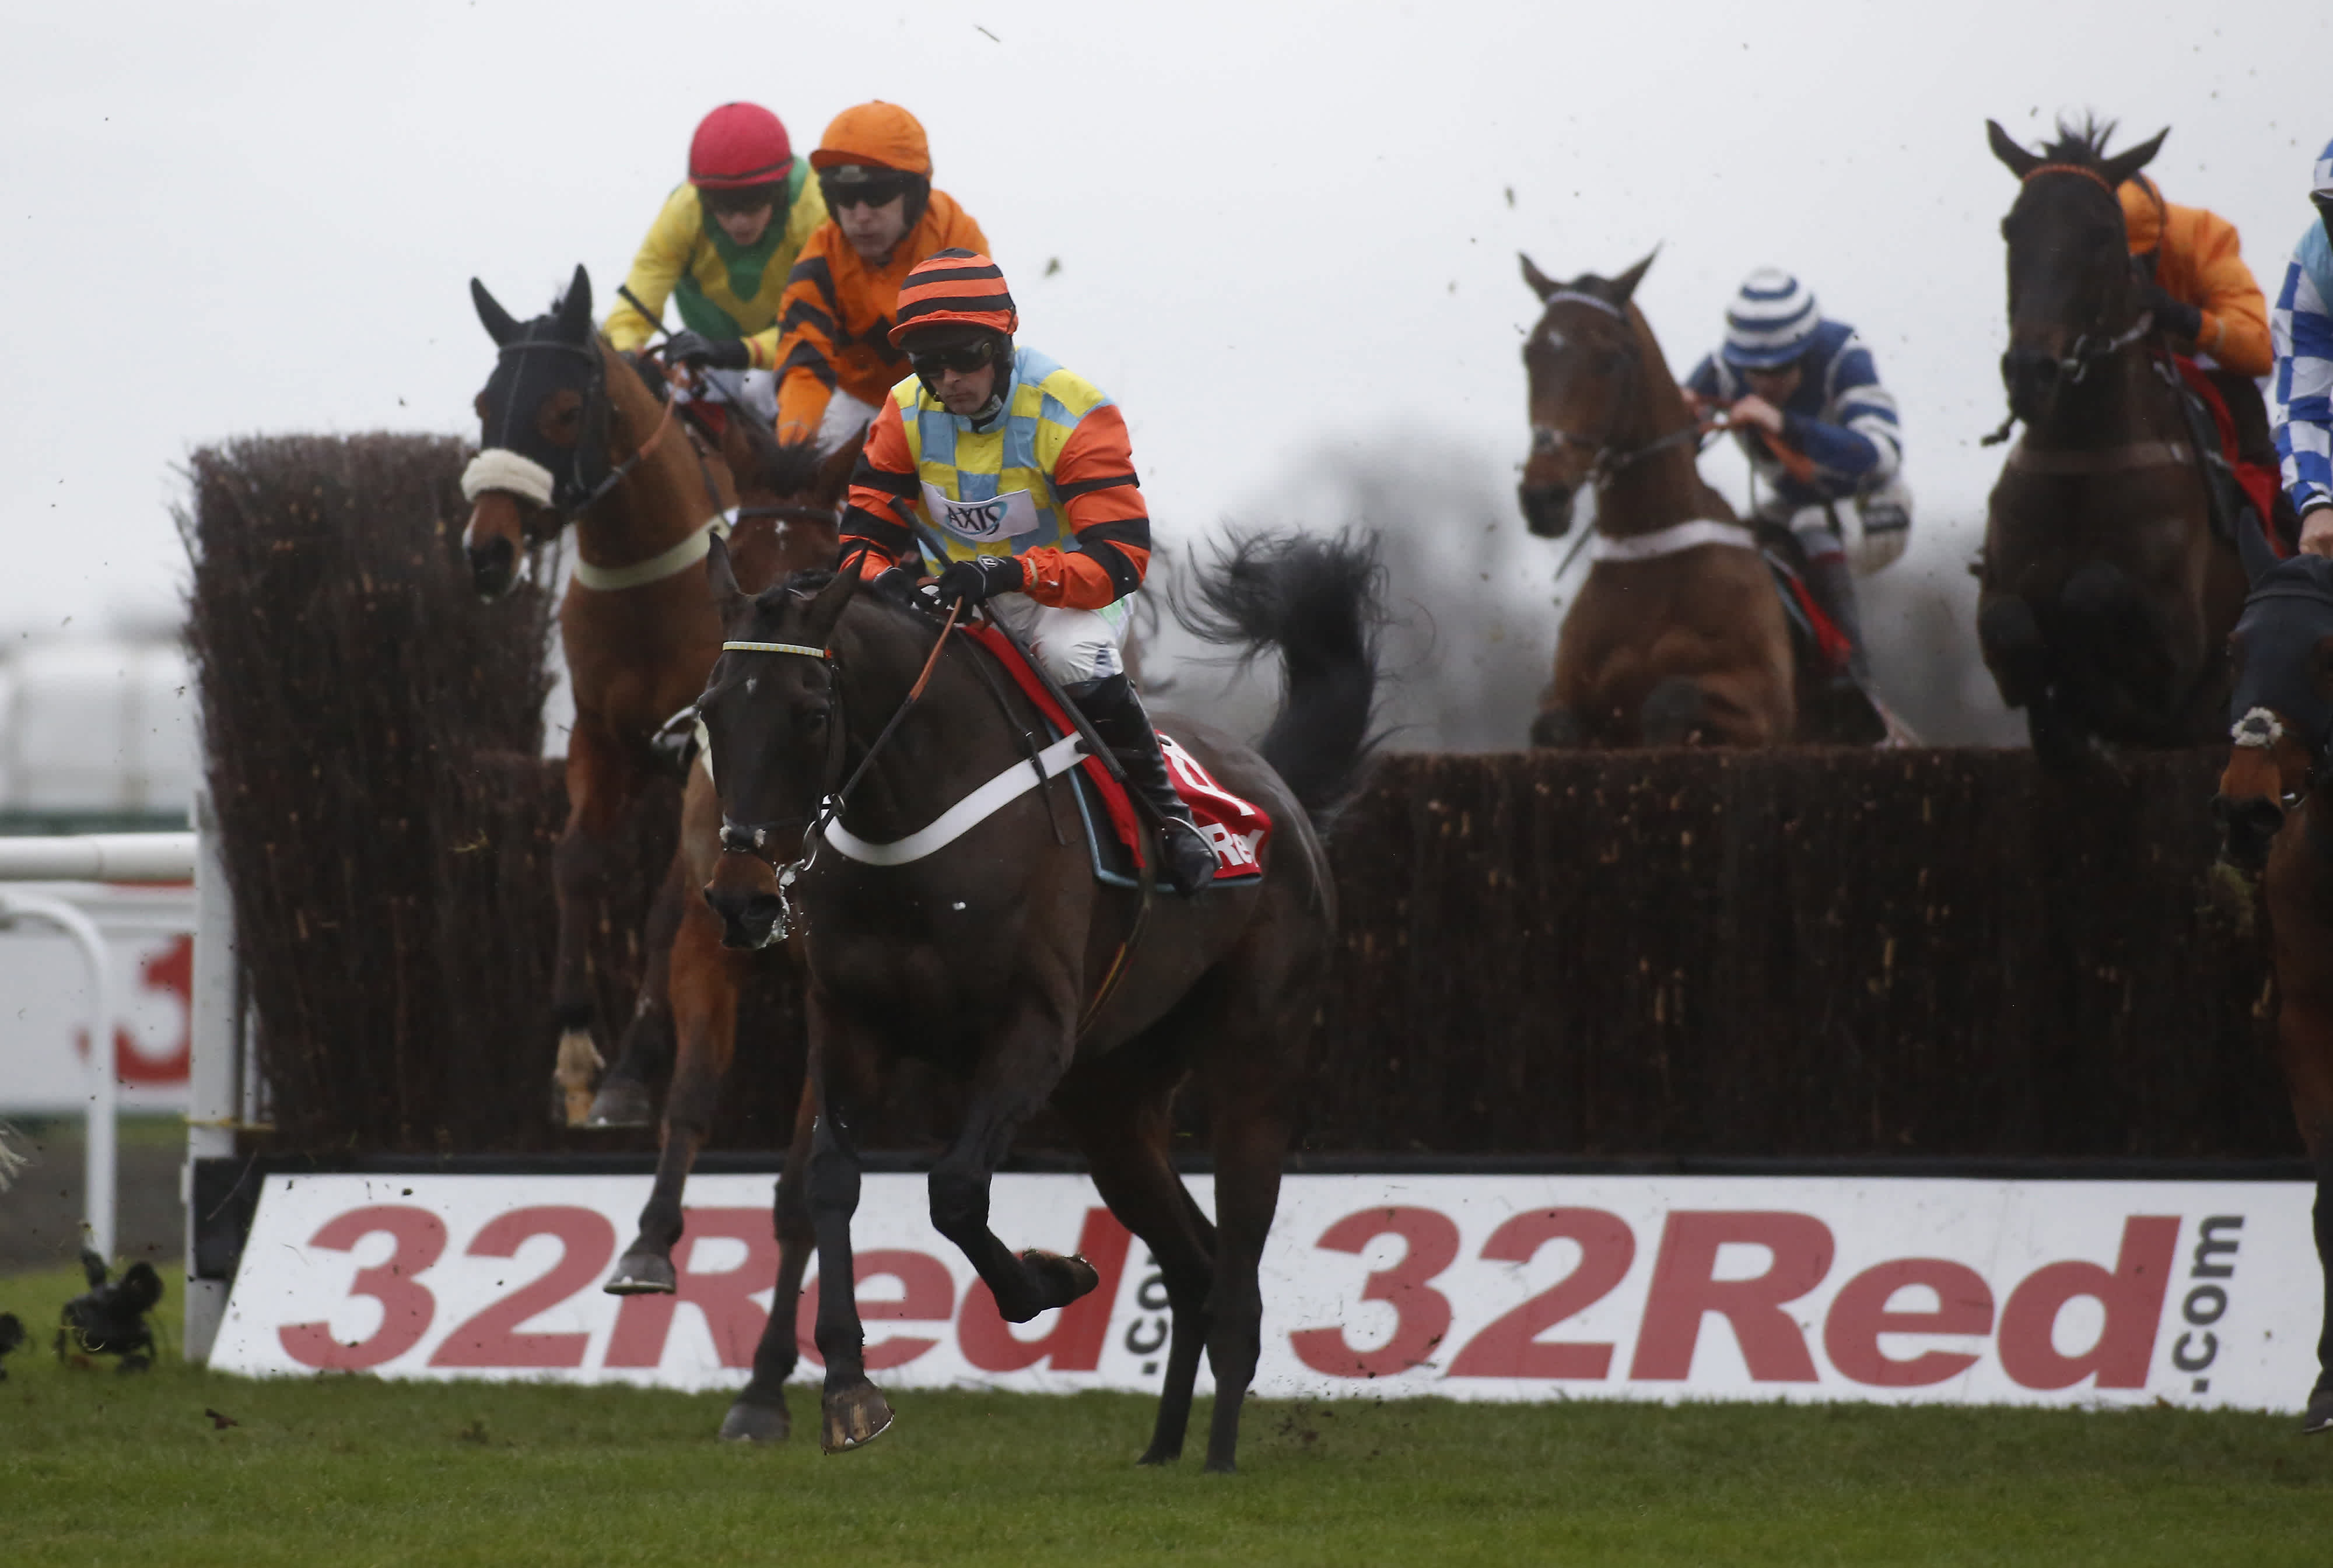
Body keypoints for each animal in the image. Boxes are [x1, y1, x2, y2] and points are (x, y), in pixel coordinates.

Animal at [460, 264, 854, 1120]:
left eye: (564, 409)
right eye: (482, 404)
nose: (488, 550)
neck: (644, 585)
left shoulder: (704, 764)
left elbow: (673, 901)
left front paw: (633, 1068)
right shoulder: (603, 737)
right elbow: (573, 860)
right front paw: (575, 1049)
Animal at [691, 536, 1381, 1474]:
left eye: (809, 712)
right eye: (712, 710)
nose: (742, 898)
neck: (911, 833)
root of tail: (1273, 790)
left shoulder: (1032, 1031)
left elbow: (955, 1189)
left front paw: (1052, 1279)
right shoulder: (848, 1024)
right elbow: (830, 1180)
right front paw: (846, 1386)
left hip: (1256, 1058)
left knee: (1238, 1258)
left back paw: (1219, 1456)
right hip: (1111, 1100)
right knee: (1193, 1261)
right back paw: (1163, 1450)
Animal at [1521, 250, 1792, 746]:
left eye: (1610, 359)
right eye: (1529, 354)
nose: (1543, 497)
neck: (1651, 555)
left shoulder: (1768, 707)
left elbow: (1670, 700)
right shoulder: (1566, 695)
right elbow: (1555, 725)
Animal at [1978, 120, 2249, 770]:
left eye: (2102, 234)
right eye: (2011, 227)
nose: (2031, 371)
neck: (2082, 459)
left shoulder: (2180, 637)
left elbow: (2092, 590)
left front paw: (2089, 704)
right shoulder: (1997, 595)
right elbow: (2009, 624)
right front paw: (2057, 716)